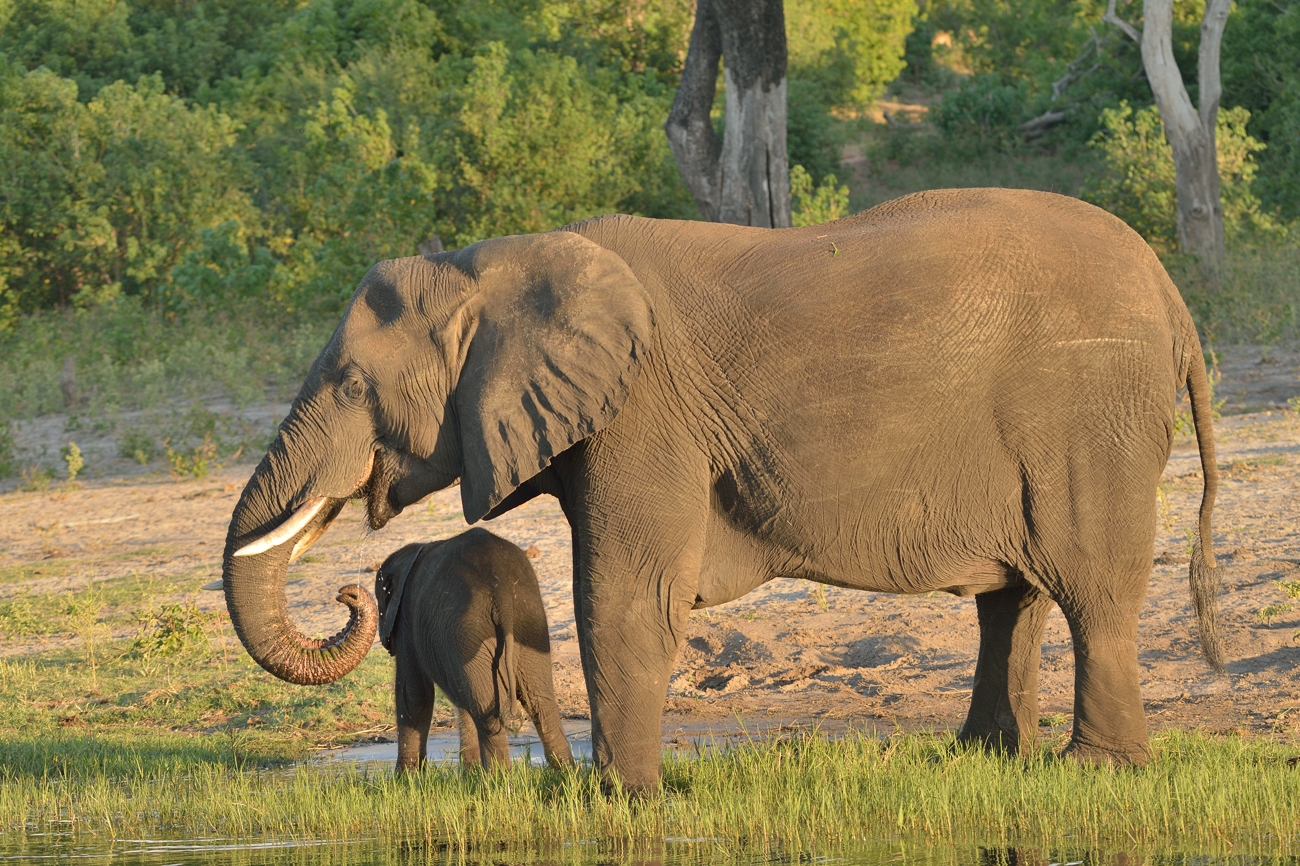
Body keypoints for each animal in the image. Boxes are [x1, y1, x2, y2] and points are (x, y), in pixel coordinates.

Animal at [374, 525, 572, 769]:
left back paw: (498, 777)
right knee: (540, 702)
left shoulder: (405, 621)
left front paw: (405, 777)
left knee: (486, 711)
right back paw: (565, 773)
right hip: (528, 621)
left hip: (469, 627)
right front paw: (471, 772)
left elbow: (414, 694)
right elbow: (461, 695)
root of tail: (500, 585)